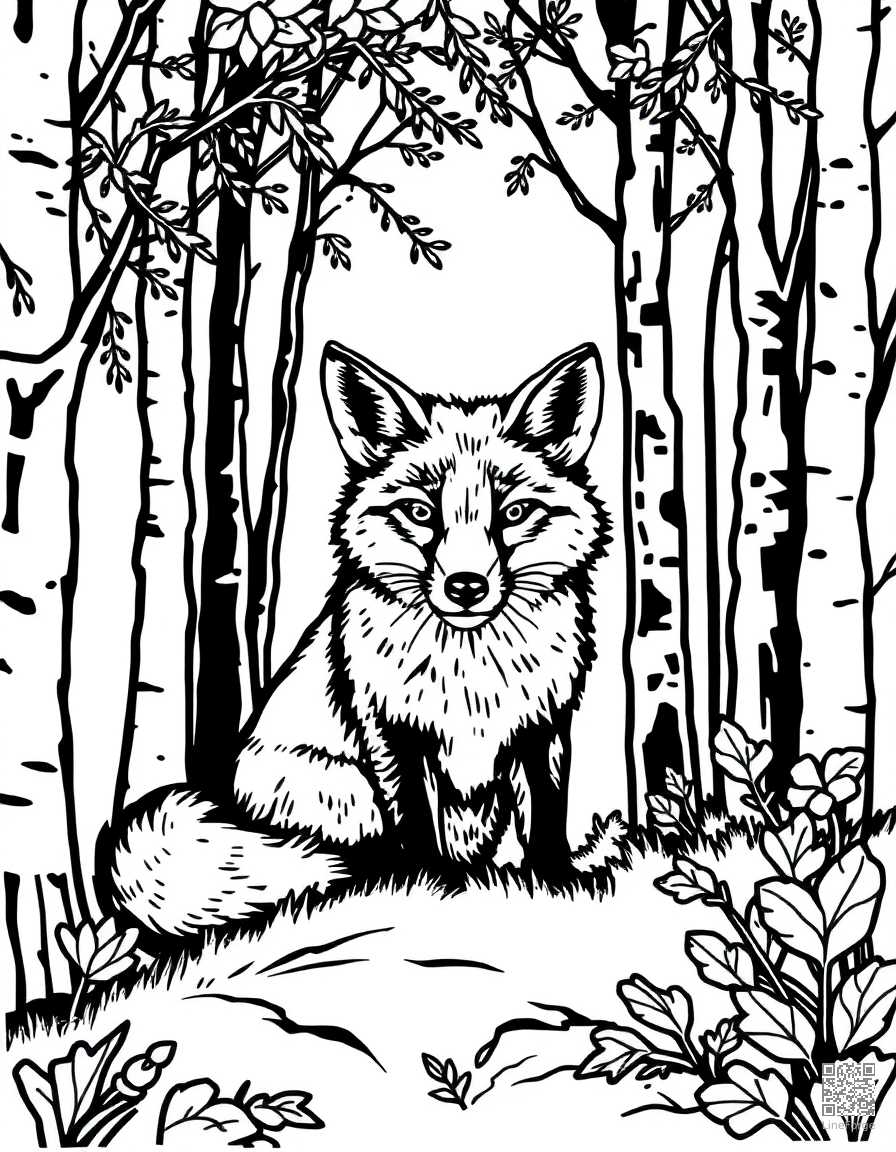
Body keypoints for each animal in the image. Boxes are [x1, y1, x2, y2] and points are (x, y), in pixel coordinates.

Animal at [105, 341, 611, 937]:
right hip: (346, 788)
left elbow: (546, 820)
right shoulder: (393, 734)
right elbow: (415, 825)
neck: (470, 678)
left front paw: (554, 884)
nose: (466, 587)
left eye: (514, 512)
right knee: (344, 859)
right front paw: (431, 890)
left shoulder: (541, 729)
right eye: (420, 512)